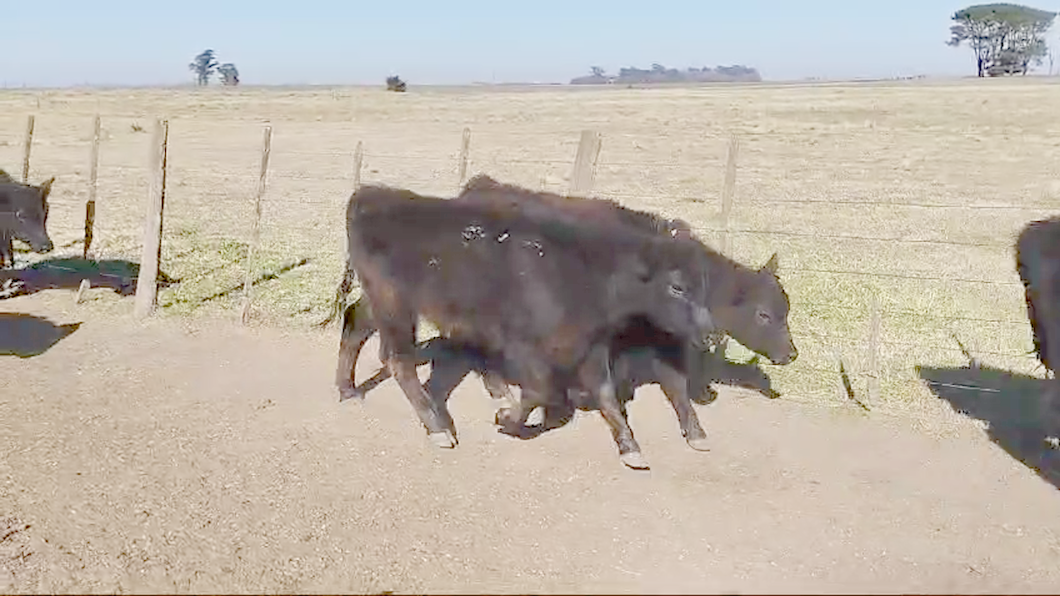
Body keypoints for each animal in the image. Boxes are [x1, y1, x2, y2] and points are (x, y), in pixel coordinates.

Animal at [343, 183, 716, 466]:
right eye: (677, 286)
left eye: (703, 282)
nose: (710, 334)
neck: (585, 268)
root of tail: (371, 195)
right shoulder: (525, 345)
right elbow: (539, 389)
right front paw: (508, 420)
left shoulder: (589, 344)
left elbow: (609, 393)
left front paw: (631, 447)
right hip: (395, 307)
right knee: (398, 361)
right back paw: (439, 428)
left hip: (381, 303)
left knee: (355, 322)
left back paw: (347, 390)